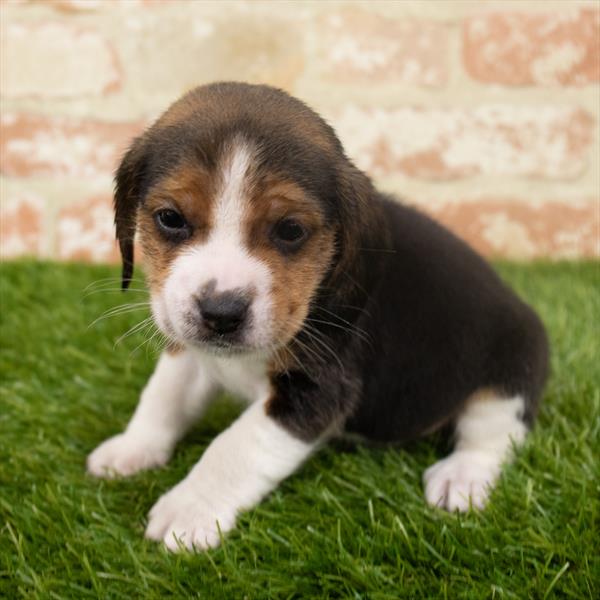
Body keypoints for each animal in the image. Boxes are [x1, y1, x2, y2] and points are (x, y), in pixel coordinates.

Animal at [86, 82, 552, 552]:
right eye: (170, 218)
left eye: (290, 230)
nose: (221, 312)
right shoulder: (191, 352)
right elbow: (162, 396)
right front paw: (133, 447)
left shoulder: (316, 390)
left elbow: (233, 447)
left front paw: (188, 508)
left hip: (510, 373)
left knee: (493, 437)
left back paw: (462, 477)